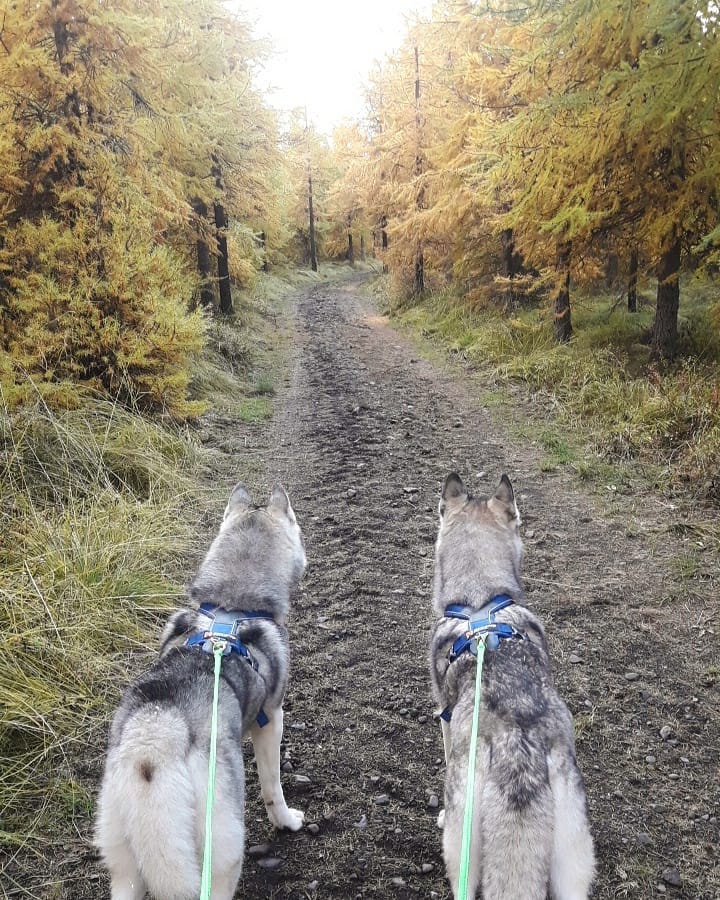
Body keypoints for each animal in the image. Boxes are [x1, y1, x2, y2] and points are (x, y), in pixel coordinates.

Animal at [95, 486, 304, 900]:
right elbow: (273, 786)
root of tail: (155, 738)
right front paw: (286, 821)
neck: (230, 606)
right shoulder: (271, 719)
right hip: (221, 850)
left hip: (124, 863)